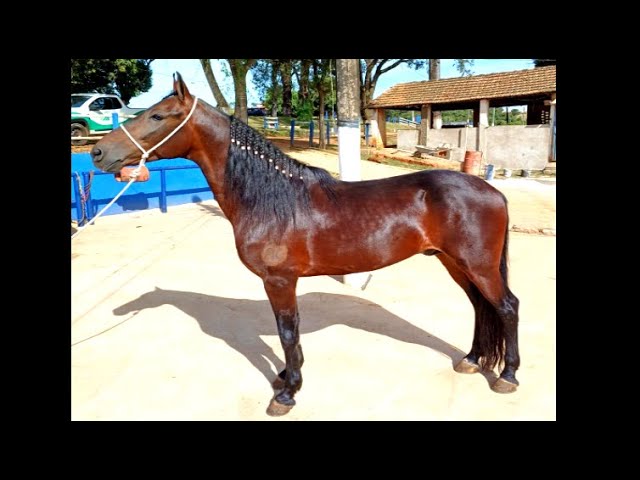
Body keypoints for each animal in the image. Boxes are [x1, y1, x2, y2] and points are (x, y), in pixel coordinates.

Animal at [90, 72, 520, 416]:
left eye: (157, 116)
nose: (97, 152)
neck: (271, 199)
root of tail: (493, 191)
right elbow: (285, 335)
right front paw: (284, 378)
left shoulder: (280, 280)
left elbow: (287, 332)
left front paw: (287, 393)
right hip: (455, 263)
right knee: (480, 307)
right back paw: (472, 360)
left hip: (477, 265)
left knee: (506, 307)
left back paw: (508, 376)